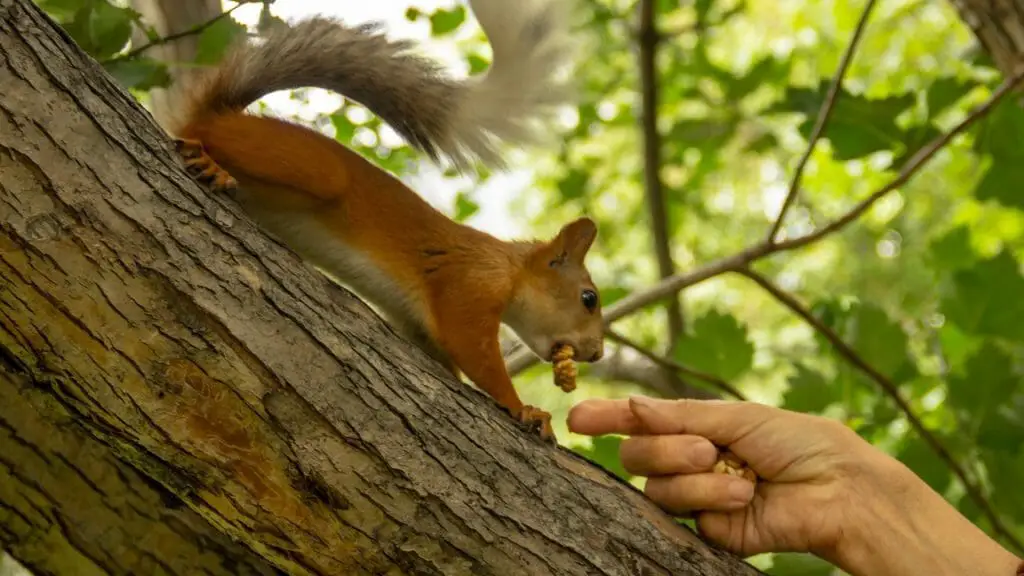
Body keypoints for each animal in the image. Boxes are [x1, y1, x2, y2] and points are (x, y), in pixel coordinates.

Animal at [168, 0, 604, 441]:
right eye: (589, 298)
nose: (598, 353)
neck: (510, 270)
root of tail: (219, 116)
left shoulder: (421, 327)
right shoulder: (470, 284)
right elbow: (475, 351)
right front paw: (525, 408)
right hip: (313, 168)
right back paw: (211, 162)